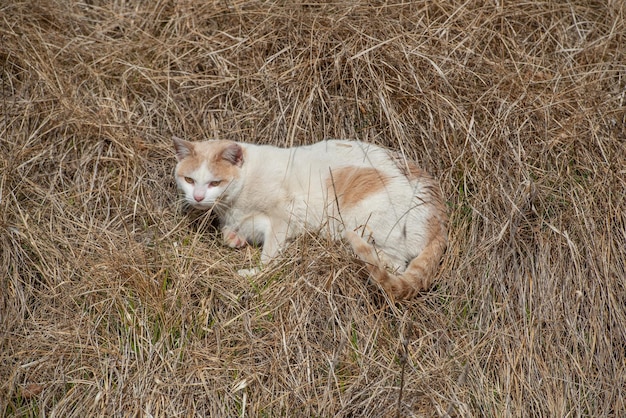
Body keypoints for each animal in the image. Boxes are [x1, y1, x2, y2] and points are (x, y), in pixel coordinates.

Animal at [173, 138, 446, 300]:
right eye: (189, 180)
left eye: (214, 183)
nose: (198, 197)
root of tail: (440, 218)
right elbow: (230, 233)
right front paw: (235, 238)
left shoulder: (283, 216)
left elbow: (270, 255)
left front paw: (255, 273)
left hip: (366, 220)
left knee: (394, 263)